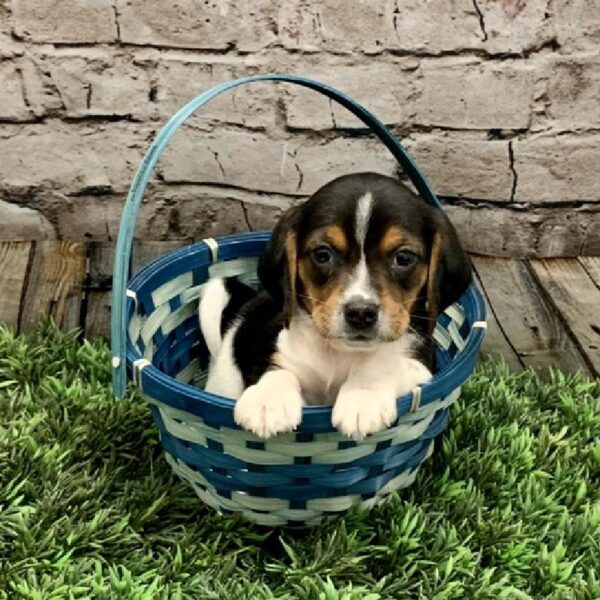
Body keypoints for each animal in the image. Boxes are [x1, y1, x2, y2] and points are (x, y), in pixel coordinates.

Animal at [202, 171, 474, 438]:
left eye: (404, 257)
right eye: (323, 254)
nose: (361, 313)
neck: (341, 354)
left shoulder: (422, 367)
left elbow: (383, 363)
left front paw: (362, 399)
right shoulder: (281, 350)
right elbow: (280, 369)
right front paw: (267, 400)